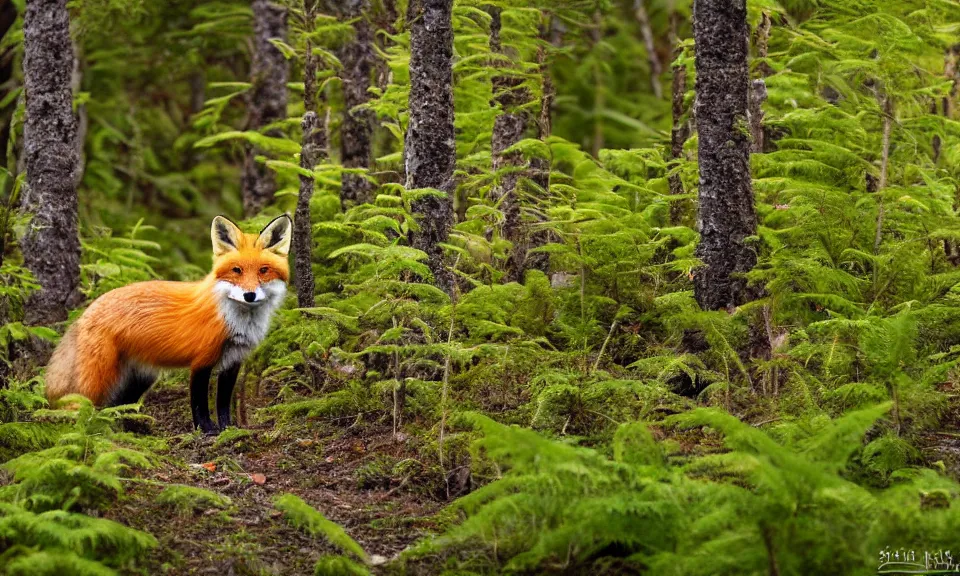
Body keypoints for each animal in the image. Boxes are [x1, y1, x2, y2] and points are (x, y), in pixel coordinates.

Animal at [45, 215, 290, 432]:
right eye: (236, 270)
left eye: (263, 270)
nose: (249, 295)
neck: (233, 320)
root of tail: (87, 310)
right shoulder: (202, 361)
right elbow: (199, 403)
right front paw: (206, 430)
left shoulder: (233, 361)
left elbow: (223, 403)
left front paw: (228, 428)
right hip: (99, 376)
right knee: (81, 404)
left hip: (139, 378)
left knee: (117, 406)